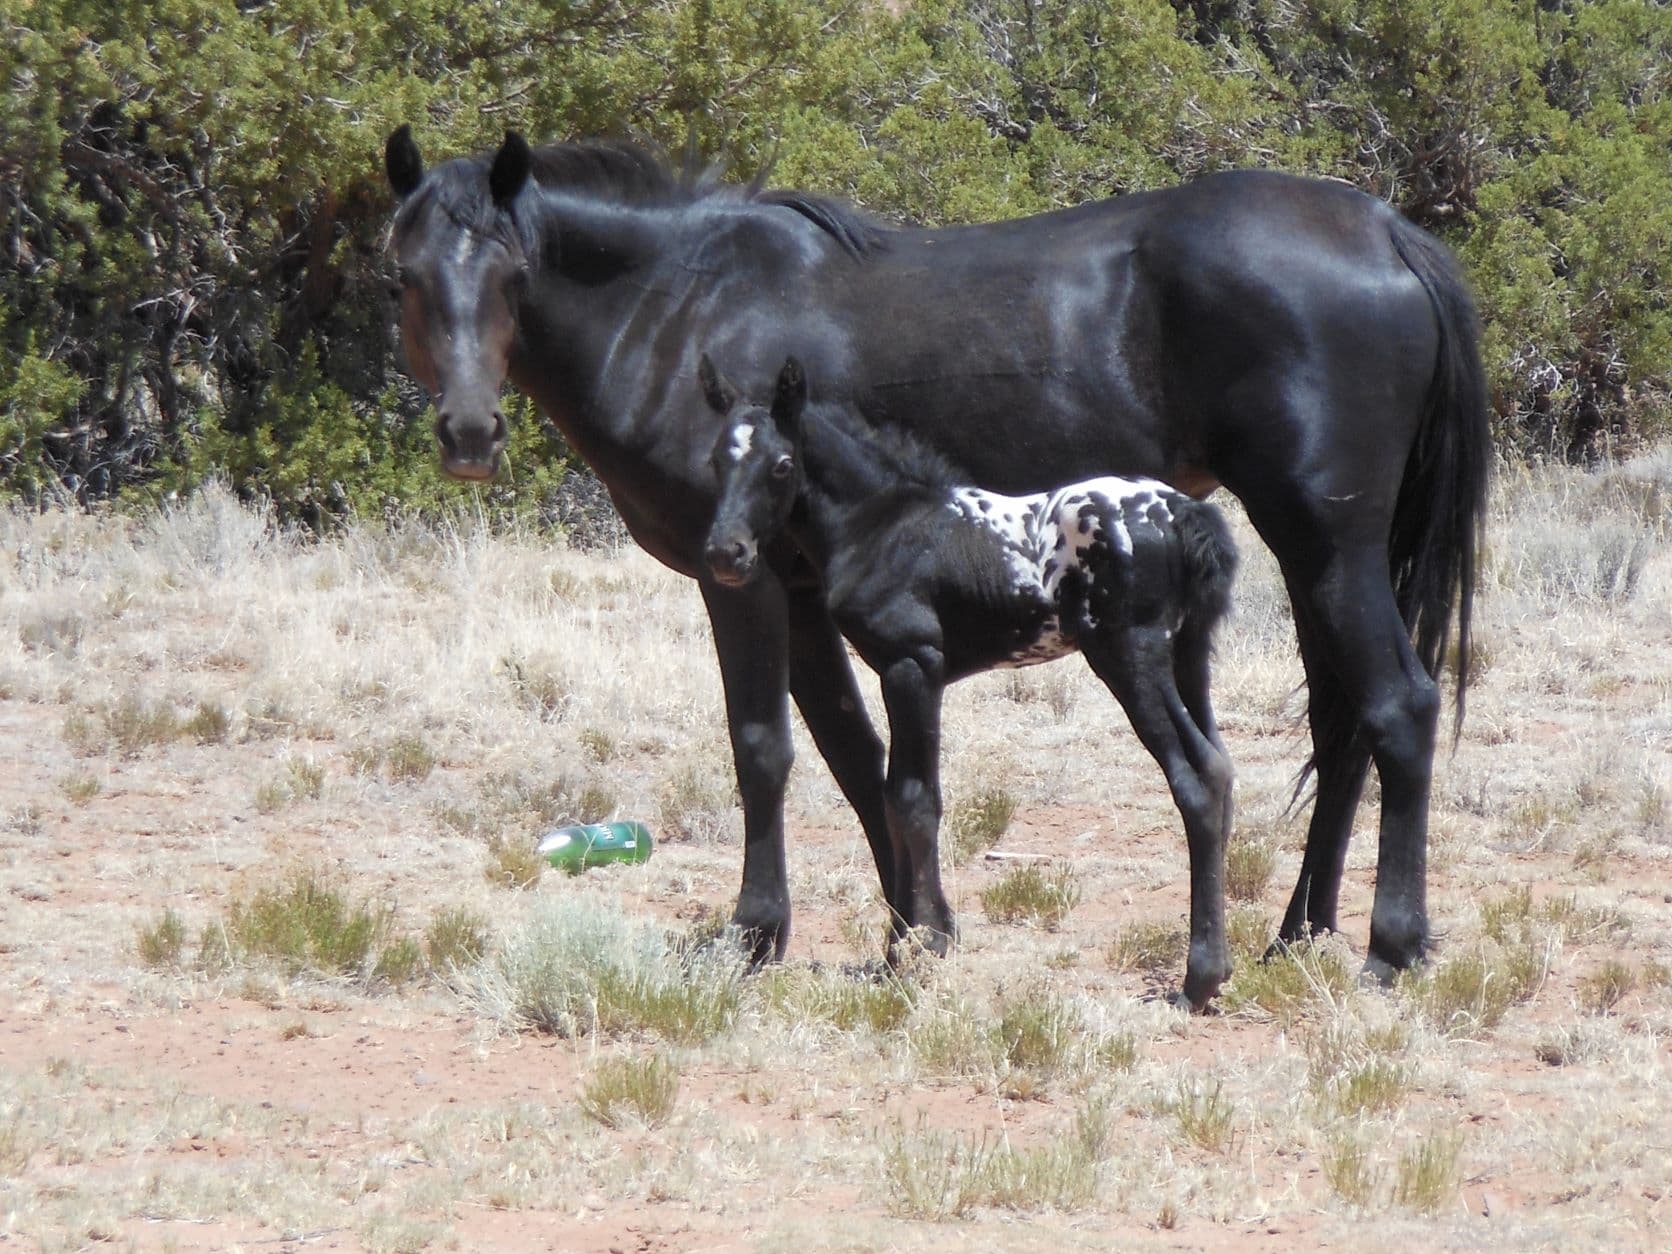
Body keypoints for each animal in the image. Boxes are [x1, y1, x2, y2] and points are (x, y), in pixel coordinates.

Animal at [699, 355, 1239, 1006]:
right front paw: (902, 947)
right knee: (1219, 768)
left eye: (781, 465)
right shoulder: (904, 669)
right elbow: (895, 794)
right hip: (1189, 653)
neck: (879, 523)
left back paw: (1197, 980)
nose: (725, 554)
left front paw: (922, 947)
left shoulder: (913, 665)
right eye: (715, 461)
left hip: (1130, 655)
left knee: (1195, 780)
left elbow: (912, 800)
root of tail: (1185, 514)